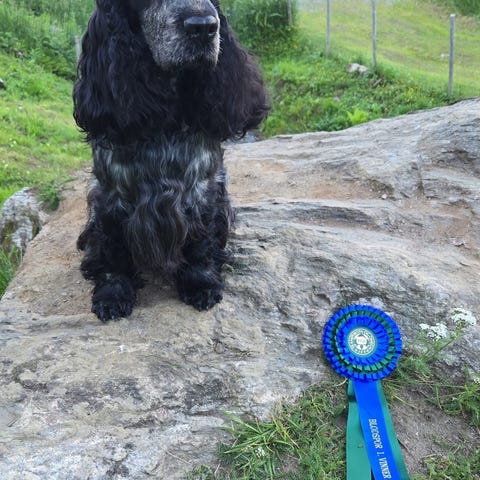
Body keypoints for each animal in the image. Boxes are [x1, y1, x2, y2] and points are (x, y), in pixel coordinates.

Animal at [73, 0, 269, 321]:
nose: (204, 27)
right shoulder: (110, 195)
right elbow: (113, 249)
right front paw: (112, 294)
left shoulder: (203, 189)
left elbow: (201, 242)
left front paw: (201, 285)